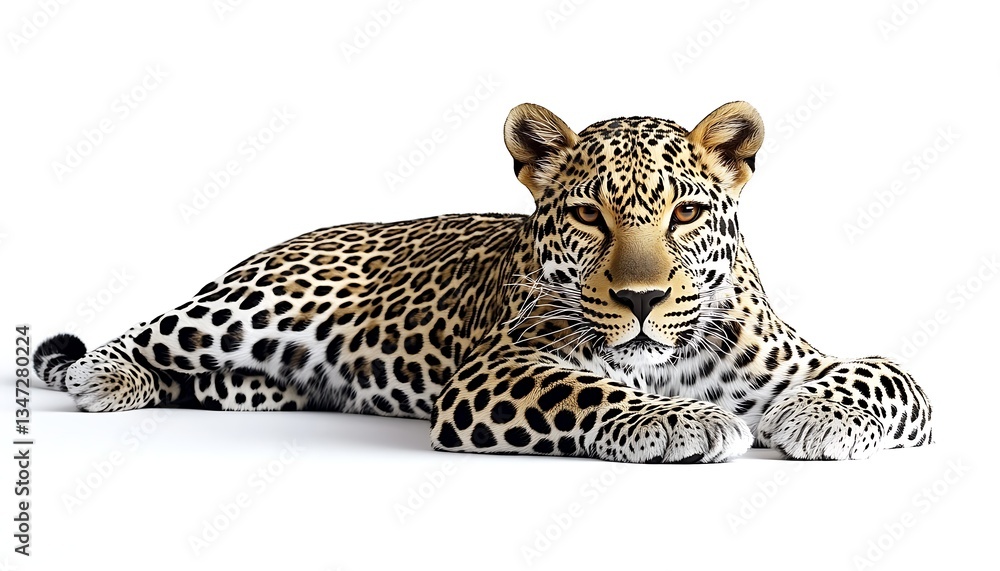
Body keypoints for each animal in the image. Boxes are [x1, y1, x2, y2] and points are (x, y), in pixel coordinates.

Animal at [33, 101, 933, 462]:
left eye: (684, 214)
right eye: (589, 215)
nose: (642, 301)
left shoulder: (804, 359)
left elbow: (888, 374)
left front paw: (813, 416)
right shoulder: (500, 369)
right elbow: (598, 391)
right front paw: (690, 421)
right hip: (254, 303)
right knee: (134, 336)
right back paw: (106, 377)